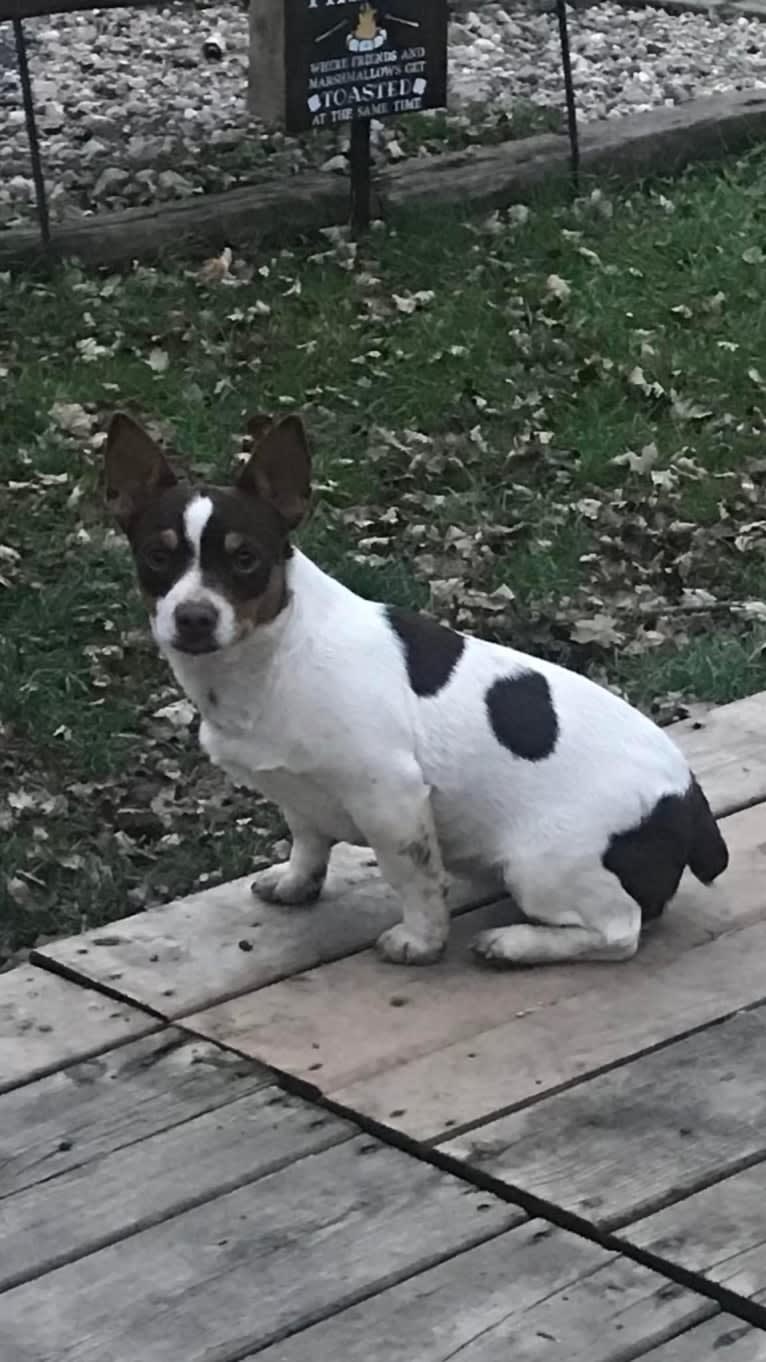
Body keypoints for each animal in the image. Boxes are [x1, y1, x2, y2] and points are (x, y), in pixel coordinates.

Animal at [104, 414, 725, 969]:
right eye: (156, 556)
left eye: (245, 559)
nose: (194, 617)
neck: (272, 654)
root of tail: (690, 800)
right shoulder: (299, 795)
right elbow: (307, 840)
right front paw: (296, 882)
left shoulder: (393, 800)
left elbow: (415, 880)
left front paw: (420, 942)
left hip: (544, 864)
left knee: (619, 932)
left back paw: (516, 944)